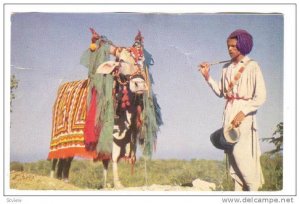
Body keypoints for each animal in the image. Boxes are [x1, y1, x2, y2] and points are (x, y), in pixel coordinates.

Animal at [47, 29, 163, 188]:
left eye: (141, 61)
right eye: (121, 61)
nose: (139, 84)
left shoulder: (125, 138)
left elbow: (108, 160)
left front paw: (106, 183)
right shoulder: (110, 135)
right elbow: (113, 157)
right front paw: (117, 183)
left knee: (67, 159)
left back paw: (64, 179)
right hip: (56, 139)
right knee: (55, 158)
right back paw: (53, 178)